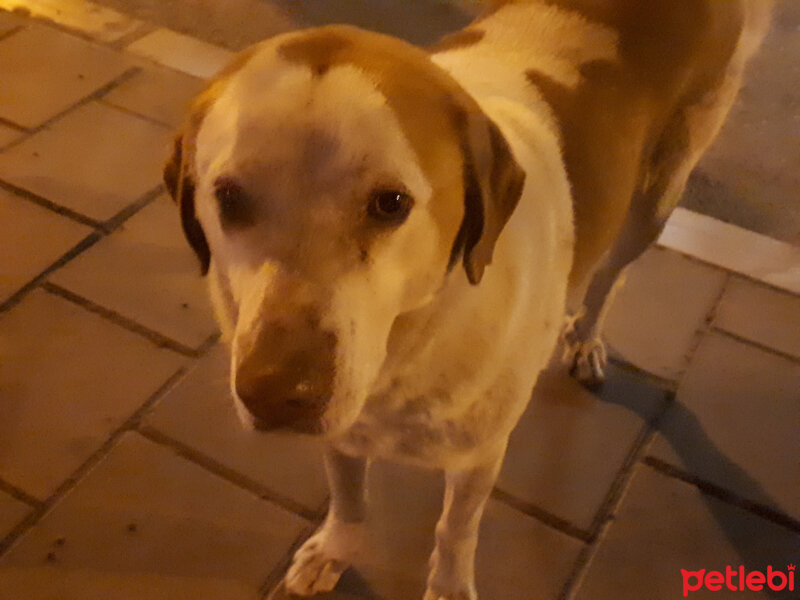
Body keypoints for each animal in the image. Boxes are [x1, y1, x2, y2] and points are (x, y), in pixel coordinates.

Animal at [162, 2, 768, 596]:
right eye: (228, 198)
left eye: (390, 203)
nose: (277, 395)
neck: (409, 349)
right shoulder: (345, 428)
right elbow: (349, 492)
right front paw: (336, 548)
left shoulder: (480, 455)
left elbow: (456, 529)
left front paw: (449, 585)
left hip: (656, 202)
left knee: (610, 278)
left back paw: (586, 337)